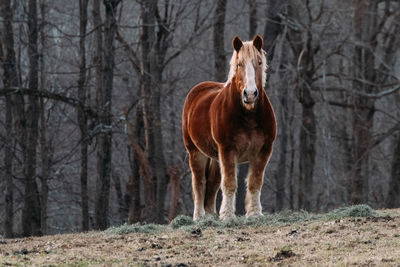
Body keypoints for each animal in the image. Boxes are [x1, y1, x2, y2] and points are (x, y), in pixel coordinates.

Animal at [183, 34, 276, 221]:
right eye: (239, 63)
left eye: (259, 62)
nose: (250, 94)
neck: (248, 117)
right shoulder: (228, 150)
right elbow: (229, 183)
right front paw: (227, 216)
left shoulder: (263, 151)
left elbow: (255, 182)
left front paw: (254, 213)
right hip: (196, 152)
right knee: (199, 183)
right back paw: (199, 217)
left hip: (215, 156)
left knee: (212, 184)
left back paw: (211, 215)